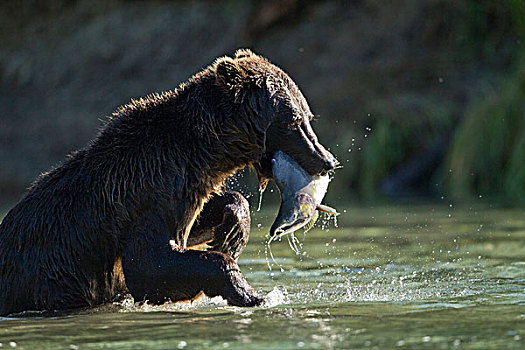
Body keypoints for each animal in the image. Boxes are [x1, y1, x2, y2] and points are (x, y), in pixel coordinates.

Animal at [0, 48, 336, 314]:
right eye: (292, 121)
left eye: (308, 116)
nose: (327, 161)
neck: (199, 152)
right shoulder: (145, 191)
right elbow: (147, 263)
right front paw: (249, 293)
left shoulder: (184, 189)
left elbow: (199, 222)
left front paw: (231, 233)